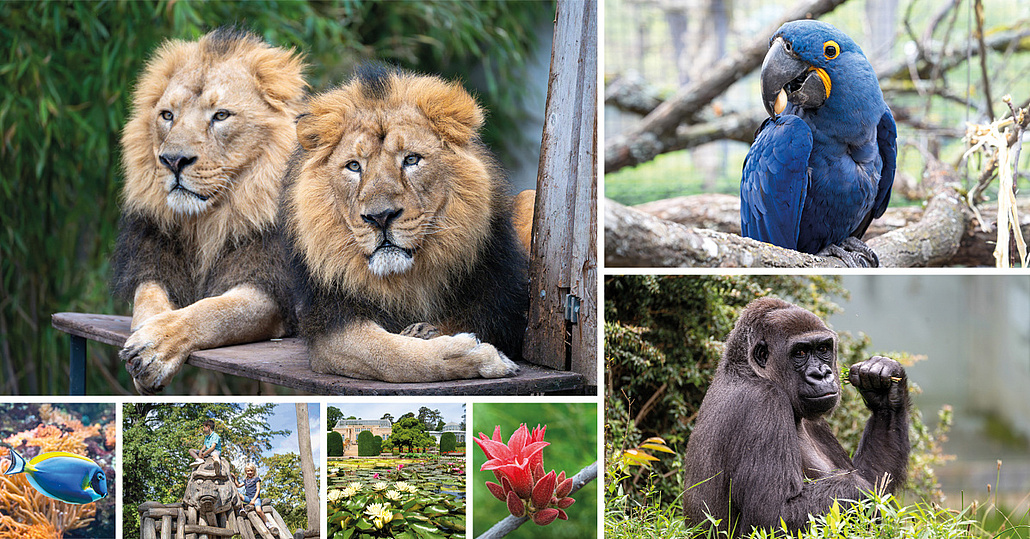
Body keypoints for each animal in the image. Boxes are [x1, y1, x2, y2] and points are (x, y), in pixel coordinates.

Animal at [113, 27, 304, 393]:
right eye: (167, 115)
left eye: (221, 115)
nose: (173, 160)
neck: (207, 222)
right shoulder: (153, 261)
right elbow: (148, 302)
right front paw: (145, 336)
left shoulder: (272, 286)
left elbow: (213, 311)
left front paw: (155, 347)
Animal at [278, 65, 527, 381]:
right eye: (354, 166)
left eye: (411, 159)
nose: (380, 217)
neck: (407, 284)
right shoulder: (327, 322)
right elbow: (387, 354)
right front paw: (472, 355)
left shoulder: (500, 310)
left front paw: (431, 333)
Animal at [683, 296, 910, 535]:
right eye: (800, 353)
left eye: (823, 348)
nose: (822, 374)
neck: (748, 370)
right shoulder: (765, 402)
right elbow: (770, 516)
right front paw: (860, 490)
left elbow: (877, 480)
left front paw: (884, 390)